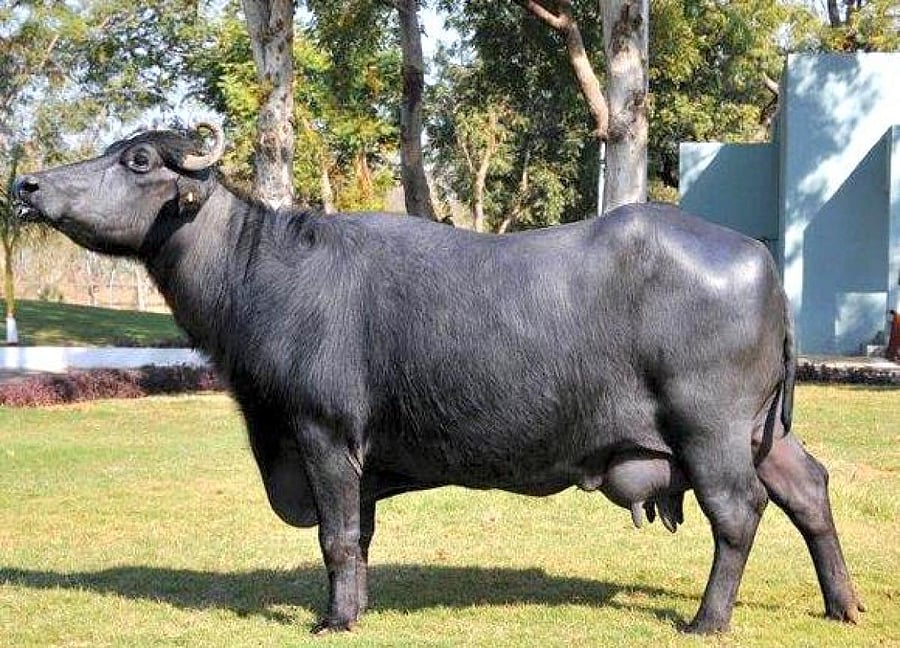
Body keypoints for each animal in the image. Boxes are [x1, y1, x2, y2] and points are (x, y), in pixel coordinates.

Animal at [14, 123, 863, 634]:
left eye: (138, 161)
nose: (26, 186)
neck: (262, 273)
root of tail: (761, 261)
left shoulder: (320, 433)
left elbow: (335, 535)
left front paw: (334, 619)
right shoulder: (352, 457)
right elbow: (359, 536)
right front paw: (357, 607)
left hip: (709, 428)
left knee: (738, 513)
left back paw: (708, 620)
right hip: (760, 431)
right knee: (808, 488)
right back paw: (843, 604)